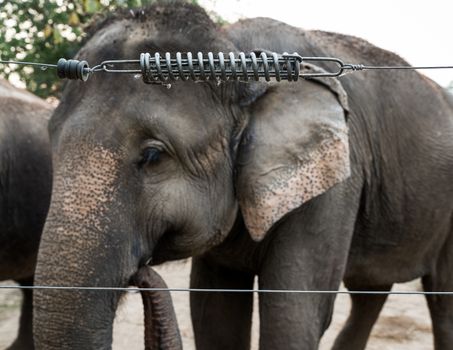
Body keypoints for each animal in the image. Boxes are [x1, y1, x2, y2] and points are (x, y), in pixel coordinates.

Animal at [31, 2, 452, 350]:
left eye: (153, 155)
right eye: (51, 138)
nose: (140, 270)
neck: (237, 53)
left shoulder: (335, 184)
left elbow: (293, 316)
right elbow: (214, 314)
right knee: (372, 293)